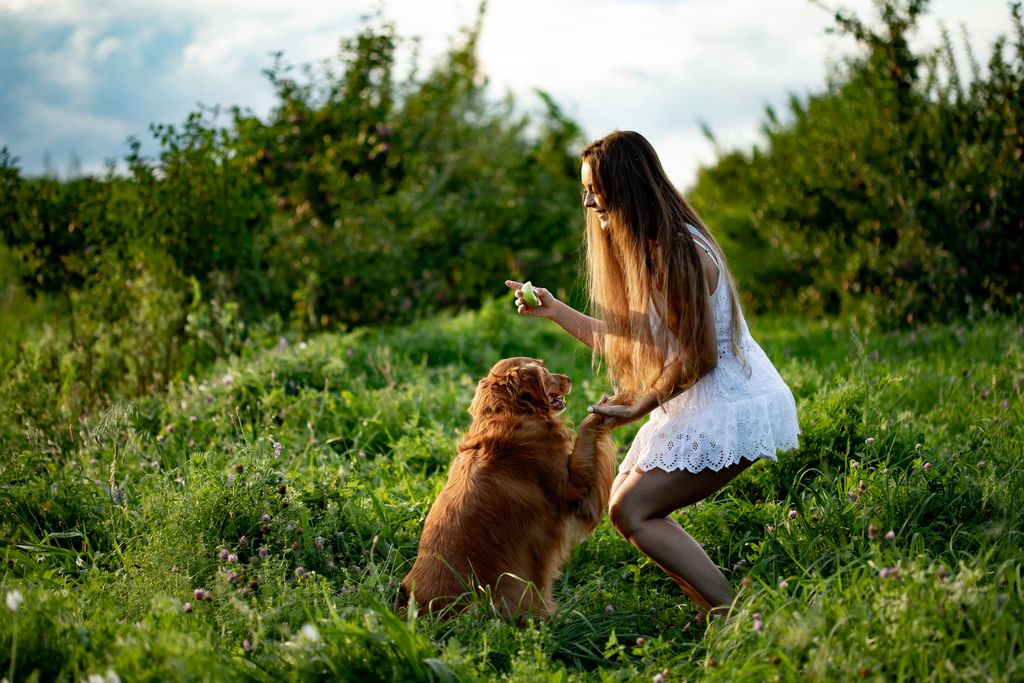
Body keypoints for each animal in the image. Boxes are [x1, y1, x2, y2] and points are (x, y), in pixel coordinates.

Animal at [399, 358, 614, 618]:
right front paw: (601, 412)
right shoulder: (572, 488)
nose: (568, 378)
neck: (511, 412)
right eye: (545, 372)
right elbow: (585, 434)